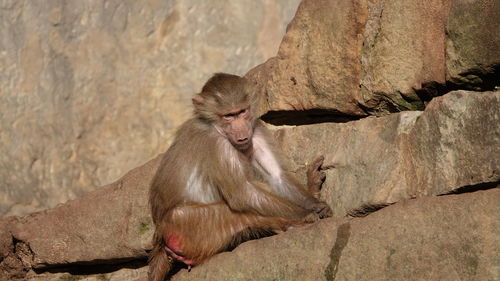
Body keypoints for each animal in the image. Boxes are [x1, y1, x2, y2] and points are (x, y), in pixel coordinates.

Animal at [148, 72, 332, 280]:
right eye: (229, 116)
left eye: (242, 111)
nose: (242, 131)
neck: (216, 127)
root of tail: (160, 238)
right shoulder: (220, 146)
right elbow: (242, 194)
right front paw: (306, 214)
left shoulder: (255, 130)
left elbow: (276, 176)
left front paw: (316, 204)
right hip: (186, 225)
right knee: (245, 212)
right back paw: (292, 225)